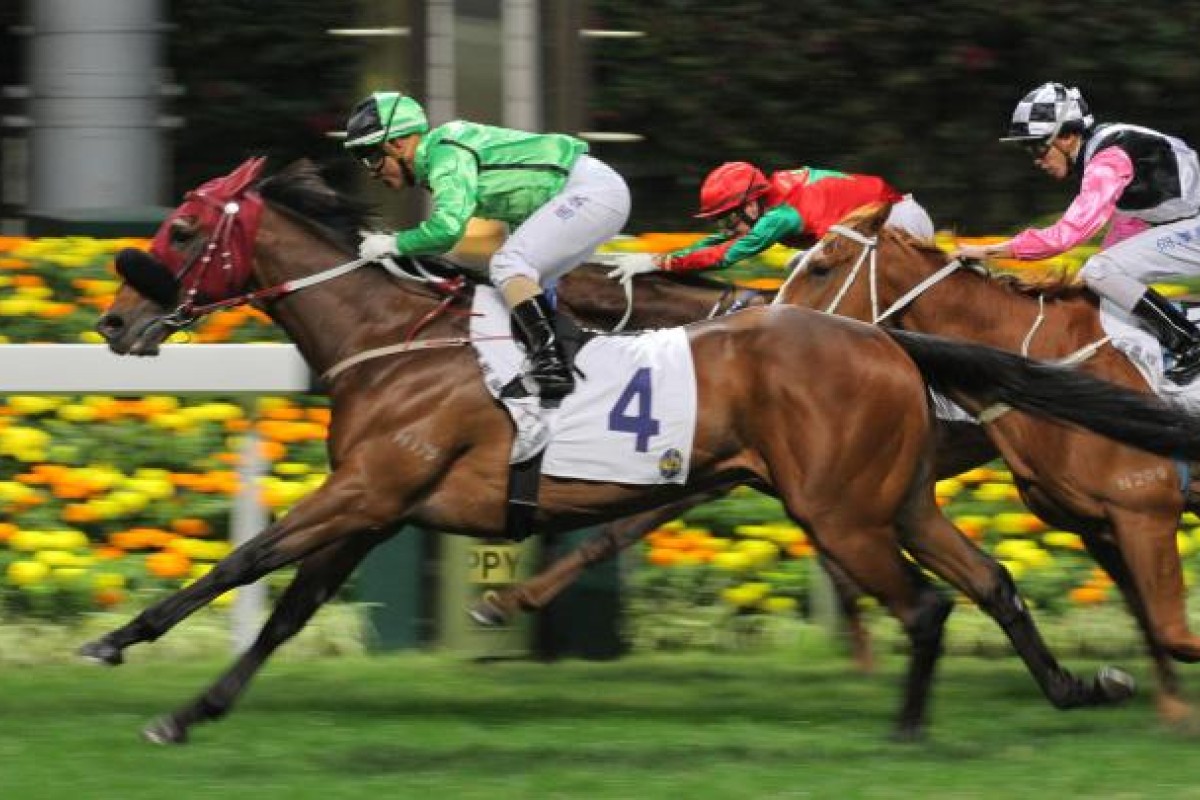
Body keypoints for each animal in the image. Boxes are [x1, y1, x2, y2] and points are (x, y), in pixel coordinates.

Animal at [777, 206, 1200, 724]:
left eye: (820, 267)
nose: (773, 323)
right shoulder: (1095, 525)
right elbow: (1151, 622)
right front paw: (1166, 709)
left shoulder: (1145, 512)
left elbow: (1173, 632)